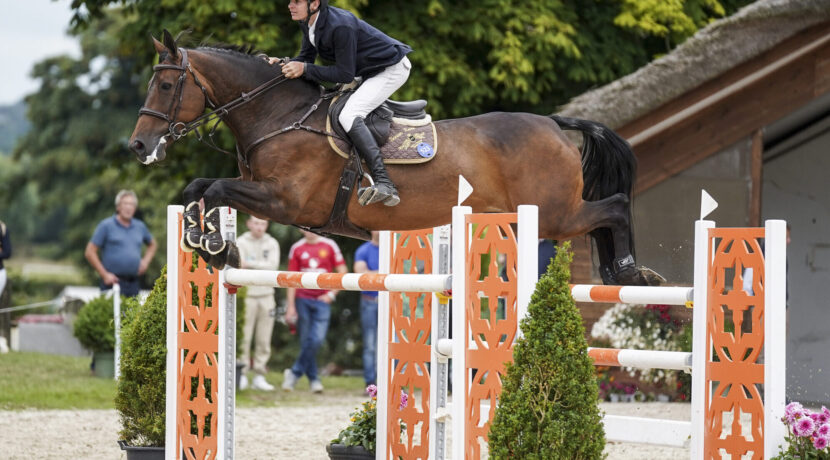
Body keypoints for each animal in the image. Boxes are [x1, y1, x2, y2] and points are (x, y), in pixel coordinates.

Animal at [129, 30, 663, 286]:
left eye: (168, 85)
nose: (137, 146)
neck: (277, 116)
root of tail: (553, 124)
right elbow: (199, 189)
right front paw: (209, 243)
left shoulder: (285, 202)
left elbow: (216, 188)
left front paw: (214, 245)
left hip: (554, 214)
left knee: (614, 207)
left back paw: (630, 272)